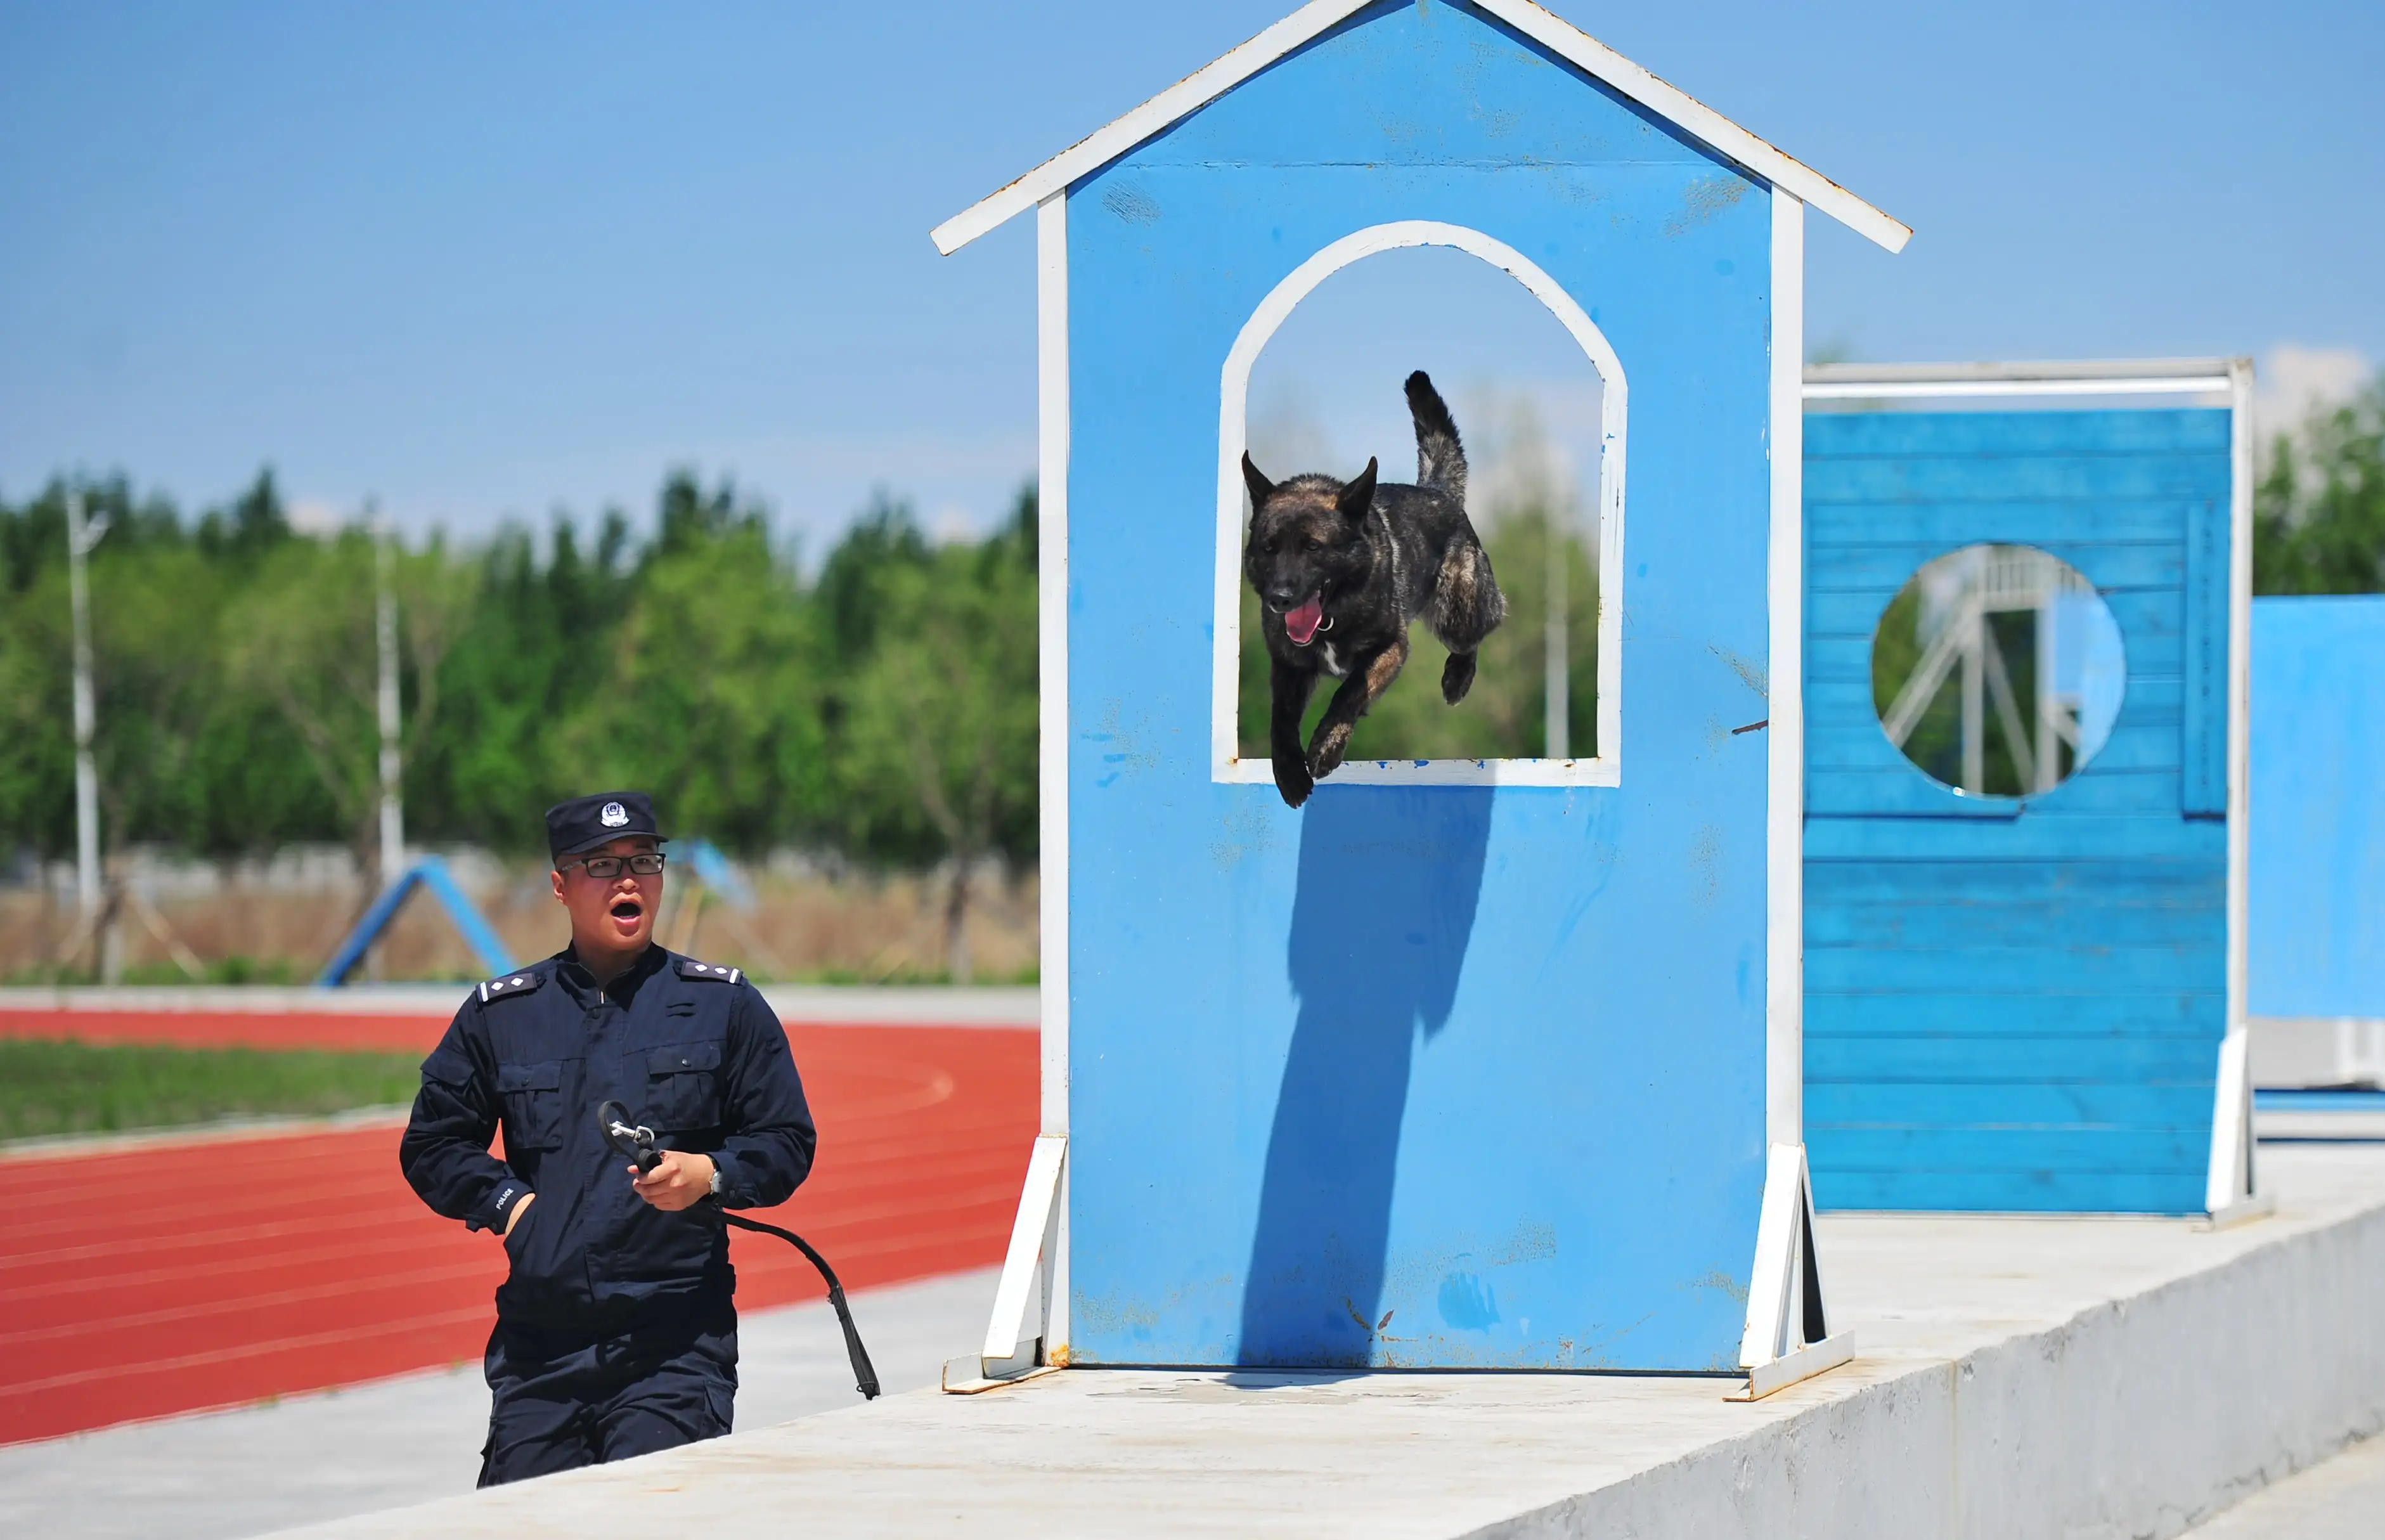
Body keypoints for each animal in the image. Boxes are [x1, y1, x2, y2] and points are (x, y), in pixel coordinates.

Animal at [1250, 372, 1507, 810]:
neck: (1331, 617)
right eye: (1269, 549)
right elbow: (1280, 718)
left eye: (1313, 547)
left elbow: (1350, 691)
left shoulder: (1391, 650)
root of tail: (1438, 492)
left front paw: (1325, 746)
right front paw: (1289, 770)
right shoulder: (1288, 665)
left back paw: (1457, 678)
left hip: (1459, 613)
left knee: (1481, 630)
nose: (1279, 599)